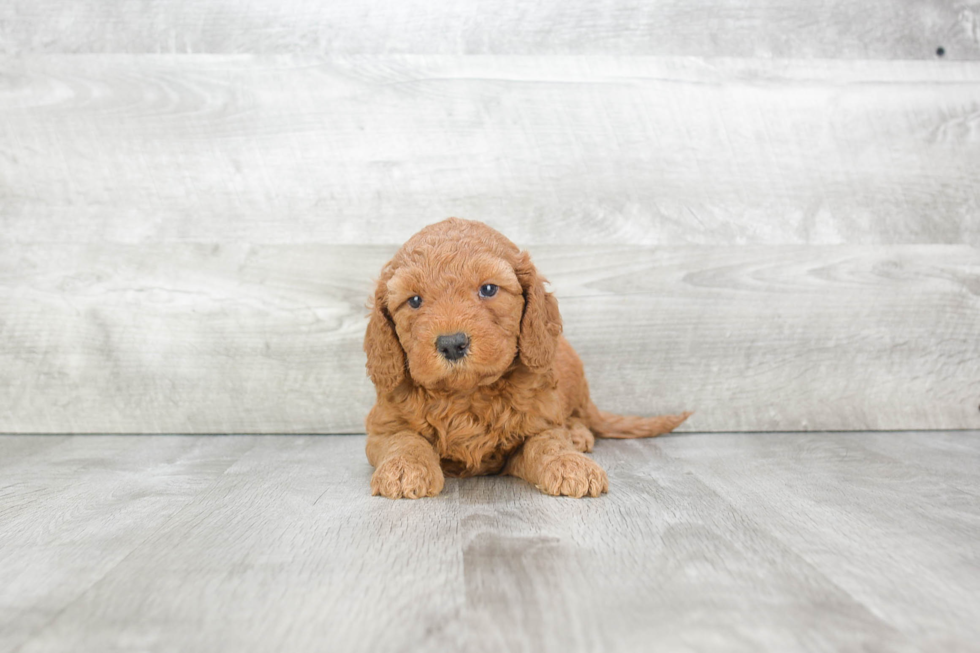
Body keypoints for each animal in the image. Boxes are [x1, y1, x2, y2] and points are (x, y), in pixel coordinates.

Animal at [364, 219, 692, 500]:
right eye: (414, 300)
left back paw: (577, 435)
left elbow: (547, 442)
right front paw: (405, 468)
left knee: (578, 415)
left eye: (488, 289)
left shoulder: (539, 421)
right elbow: (404, 439)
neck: (466, 395)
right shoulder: (381, 428)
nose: (452, 344)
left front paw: (570, 463)